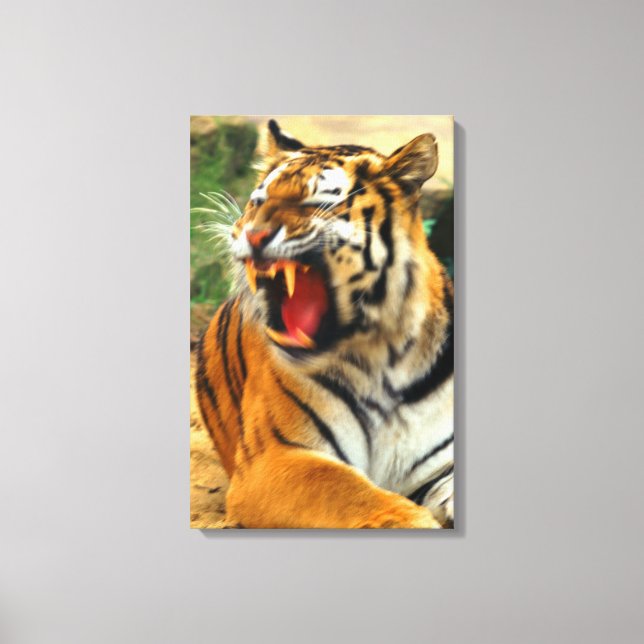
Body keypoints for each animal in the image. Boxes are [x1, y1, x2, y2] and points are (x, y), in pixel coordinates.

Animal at [194, 119, 454, 529]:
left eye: (315, 203)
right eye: (258, 201)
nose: (252, 234)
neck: (384, 354)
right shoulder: (274, 458)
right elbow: (350, 493)